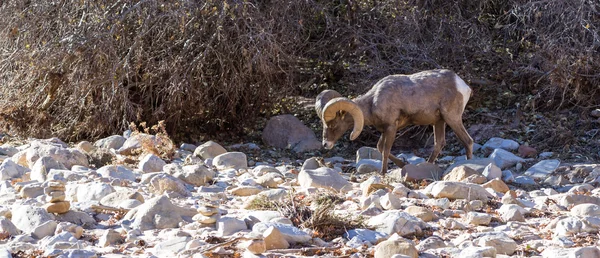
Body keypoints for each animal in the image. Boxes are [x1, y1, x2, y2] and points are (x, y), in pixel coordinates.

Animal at [316, 68, 476, 174]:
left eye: (333, 124)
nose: (325, 144)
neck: (373, 102)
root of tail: (463, 86)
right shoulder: (385, 130)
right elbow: (380, 147)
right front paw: (402, 165)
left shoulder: (391, 128)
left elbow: (386, 150)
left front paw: (383, 172)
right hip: (439, 122)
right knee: (439, 143)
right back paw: (427, 166)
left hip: (452, 118)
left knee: (467, 140)